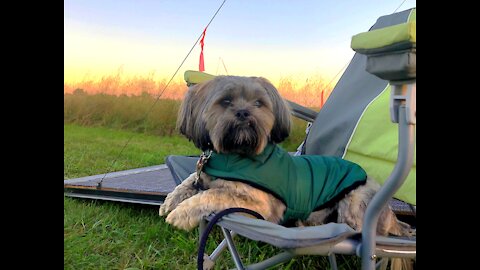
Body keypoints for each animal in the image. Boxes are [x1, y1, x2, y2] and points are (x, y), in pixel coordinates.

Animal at [158, 75, 412, 237]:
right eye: (226, 101)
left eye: (259, 103)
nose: (244, 113)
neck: (236, 153)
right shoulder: (202, 173)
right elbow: (188, 181)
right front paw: (170, 201)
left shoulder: (258, 204)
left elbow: (211, 195)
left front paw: (181, 213)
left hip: (354, 201)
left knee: (356, 229)